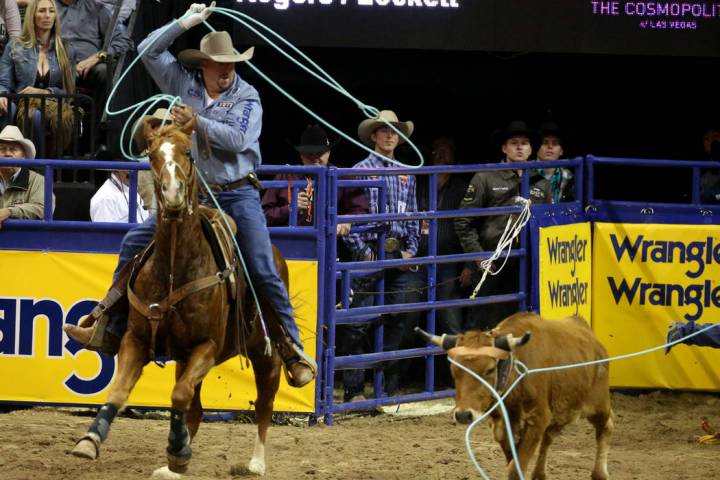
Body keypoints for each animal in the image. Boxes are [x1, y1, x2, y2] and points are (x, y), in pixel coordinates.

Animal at [71, 119, 284, 476]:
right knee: (195, 410)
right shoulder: (136, 340)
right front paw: (90, 440)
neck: (173, 268)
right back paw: (177, 461)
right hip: (184, 358)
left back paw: (255, 462)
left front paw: (177, 451)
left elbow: (179, 395)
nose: (172, 194)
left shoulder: (206, 347)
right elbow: (121, 391)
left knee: (264, 402)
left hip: (265, 354)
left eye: (188, 152)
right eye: (152, 155)